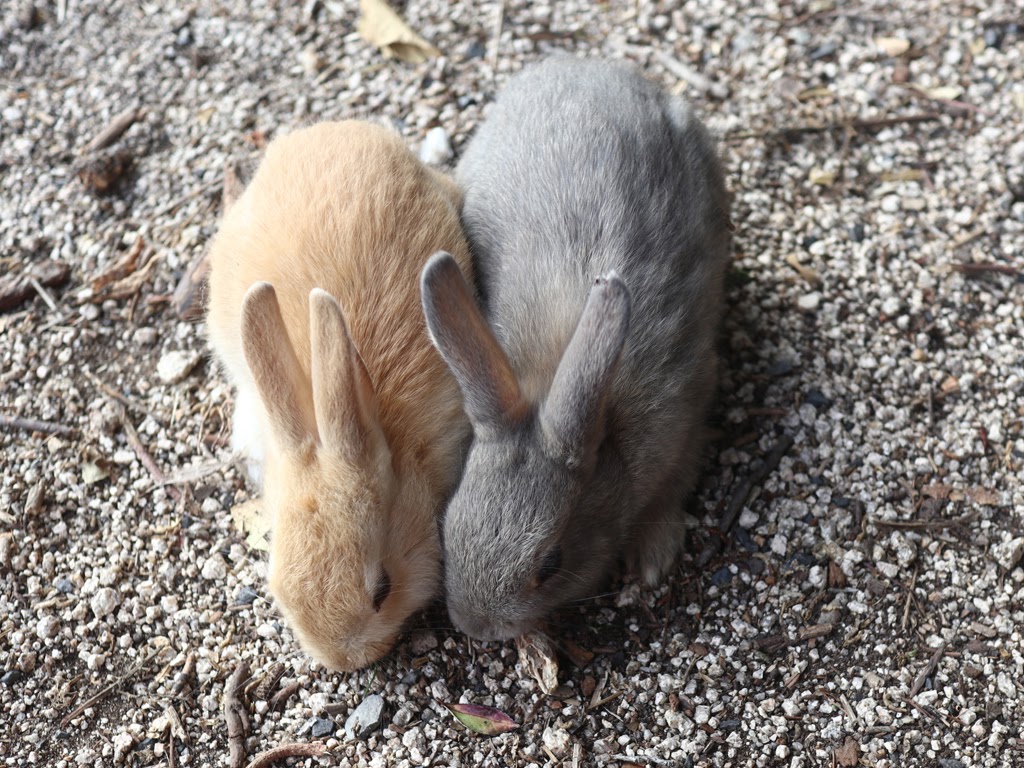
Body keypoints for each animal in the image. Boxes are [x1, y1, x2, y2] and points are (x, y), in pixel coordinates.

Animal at [419, 57, 733, 638]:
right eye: (449, 523)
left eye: (550, 562)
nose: (474, 627)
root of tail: (587, 66)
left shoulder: (689, 409)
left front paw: (652, 557)